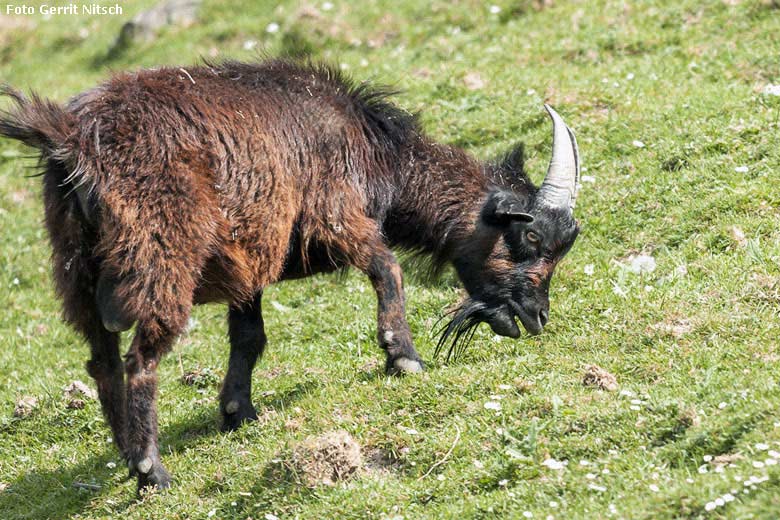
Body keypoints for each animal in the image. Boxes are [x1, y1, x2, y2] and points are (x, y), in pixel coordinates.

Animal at [0, 58, 580, 492]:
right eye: (530, 238)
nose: (537, 316)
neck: (376, 151)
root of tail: (74, 140)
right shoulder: (336, 213)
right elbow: (386, 266)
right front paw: (404, 357)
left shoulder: (249, 261)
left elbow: (249, 337)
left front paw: (238, 411)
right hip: (162, 259)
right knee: (139, 363)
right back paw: (151, 470)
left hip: (76, 271)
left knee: (101, 364)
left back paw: (126, 455)